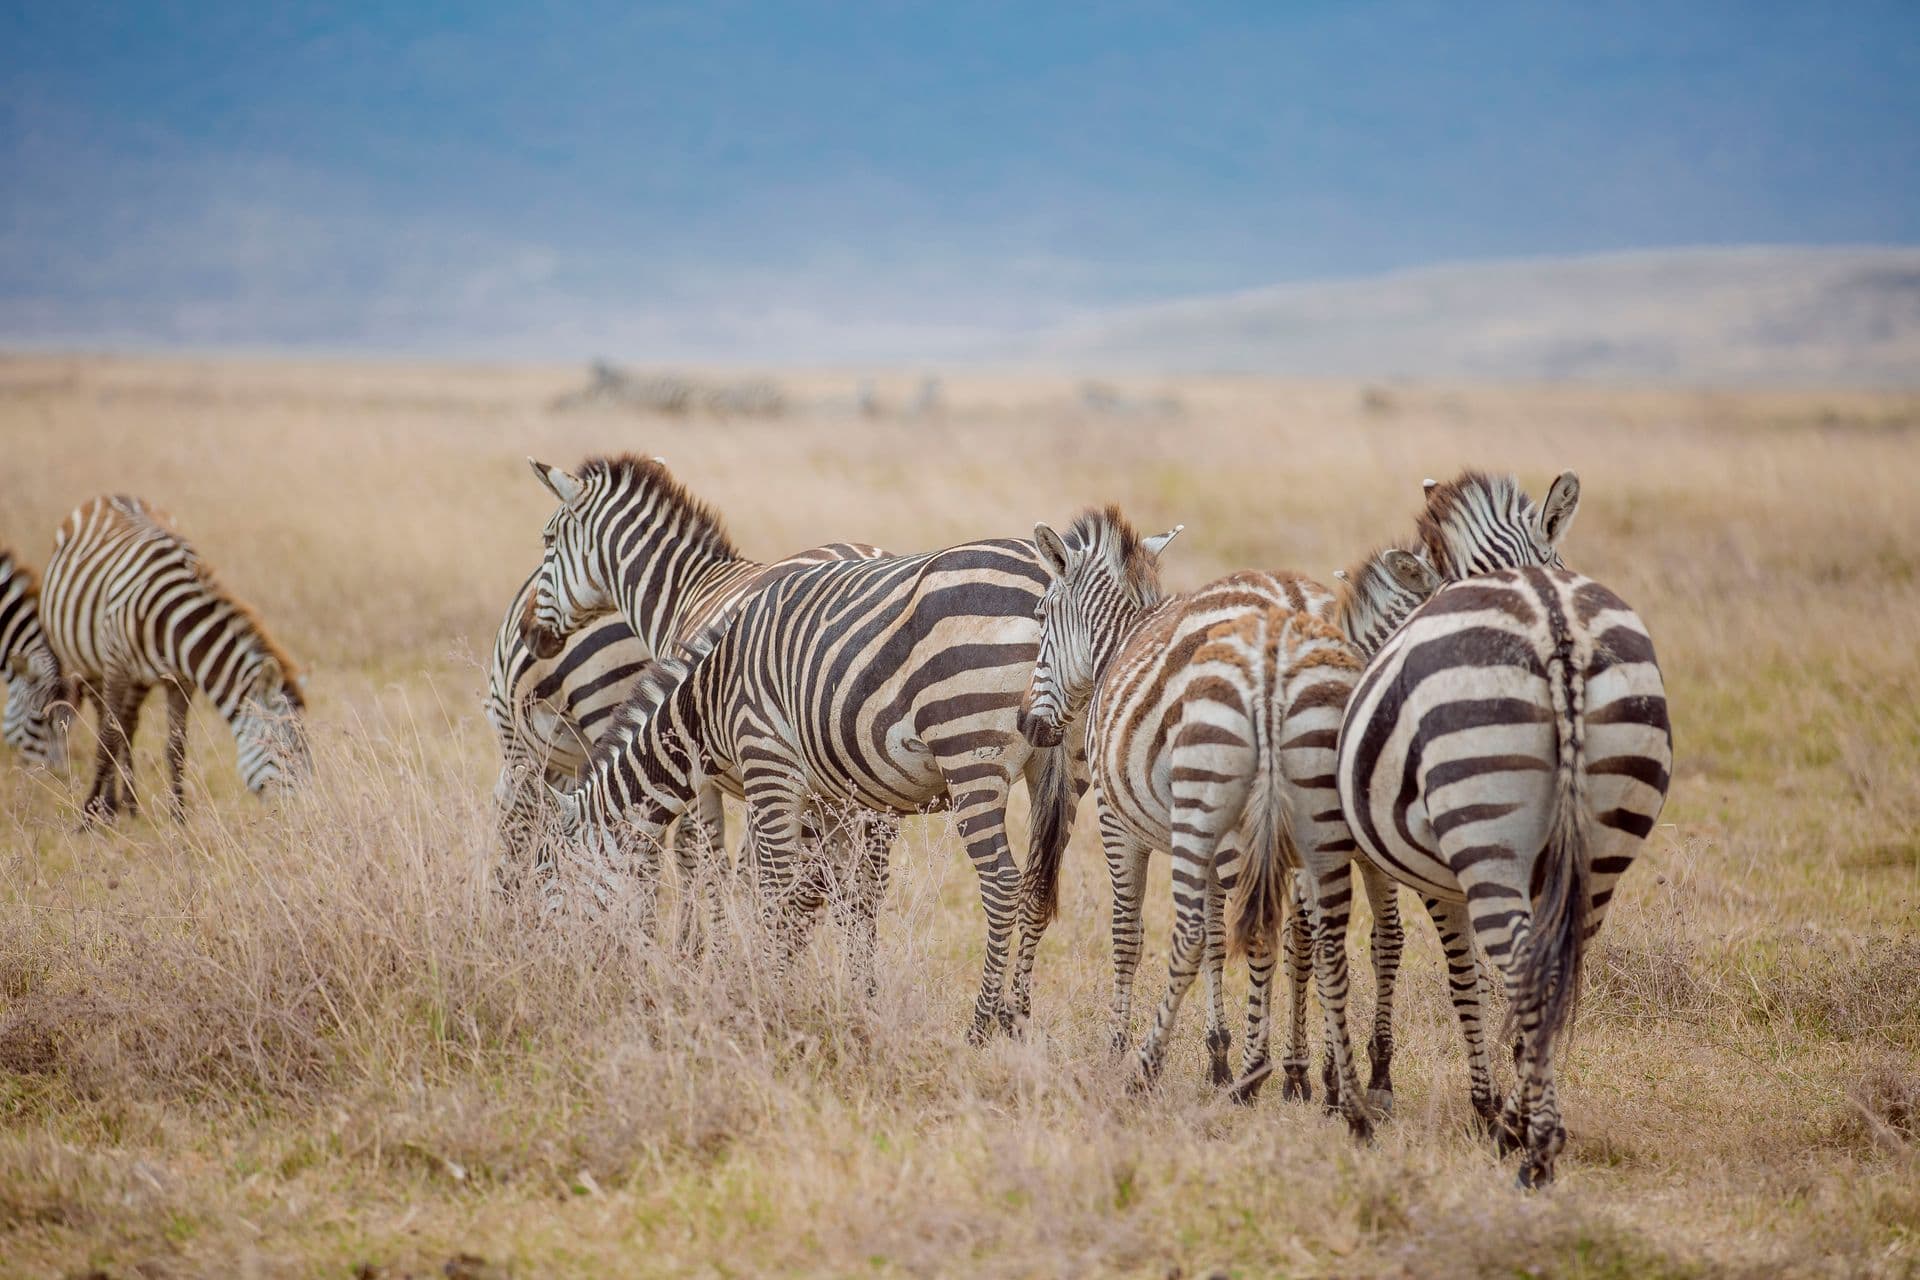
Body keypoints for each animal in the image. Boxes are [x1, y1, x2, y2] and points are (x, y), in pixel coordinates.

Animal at [40, 496, 310, 820]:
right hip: (89, 663)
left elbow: (176, 746)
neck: (175, 625)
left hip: (139, 680)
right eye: (285, 752)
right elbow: (107, 739)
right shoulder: (117, 665)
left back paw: (129, 804)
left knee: (128, 724)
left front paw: (179, 816)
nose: (305, 812)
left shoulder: (181, 680)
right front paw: (88, 816)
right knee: (108, 721)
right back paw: (108, 804)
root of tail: (107, 496)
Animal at [525, 475, 1080, 1040]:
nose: (545, 974)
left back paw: (981, 1025)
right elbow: (835, 895)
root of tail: (1044, 574)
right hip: (1058, 761)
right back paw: (1017, 1017)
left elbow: (760, 886)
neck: (709, 698)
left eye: (549, 881)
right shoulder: (833, 798)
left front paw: (753, 989)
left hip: (969, 754)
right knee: (1036, 887)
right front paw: (847, 996)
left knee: (1003, 883)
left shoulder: (764, 768)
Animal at [1012, 508, 1435, 1129]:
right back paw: (1329, 1085)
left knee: (1251, 931)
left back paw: (1248, 1078)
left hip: (1238, 818)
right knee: (1317, 934)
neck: (1116, 643)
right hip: (1304, 814)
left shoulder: (1122, 822)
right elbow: (1216, 937)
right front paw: (1219, 1054)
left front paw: (1120, 1048)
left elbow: (1130, 933)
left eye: (1042, 617)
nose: (1028, 725)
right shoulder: (1199, 827)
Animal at [1337, 470, 1672, 1186]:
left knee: (1518, 963)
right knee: (1553, 964)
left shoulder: (1442, 882)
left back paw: (1532, 1146)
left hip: (1482, 834)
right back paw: (1528, 1130)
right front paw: (1507, 1099)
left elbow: (1462, 976)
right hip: (1606, 840)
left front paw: (1484, 1104)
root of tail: (1554, 624)